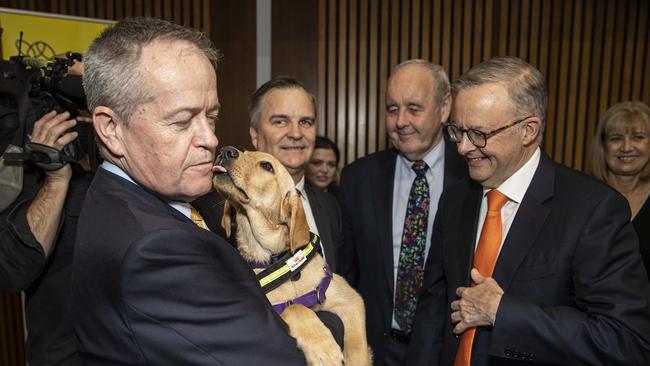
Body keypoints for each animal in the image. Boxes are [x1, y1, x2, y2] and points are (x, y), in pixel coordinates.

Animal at [213, 147, 370, 366]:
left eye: (267, 165)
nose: (225, 151)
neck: (279, 260)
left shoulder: (350, 298)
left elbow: (357, 345)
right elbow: (295, 308)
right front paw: (322, 346)